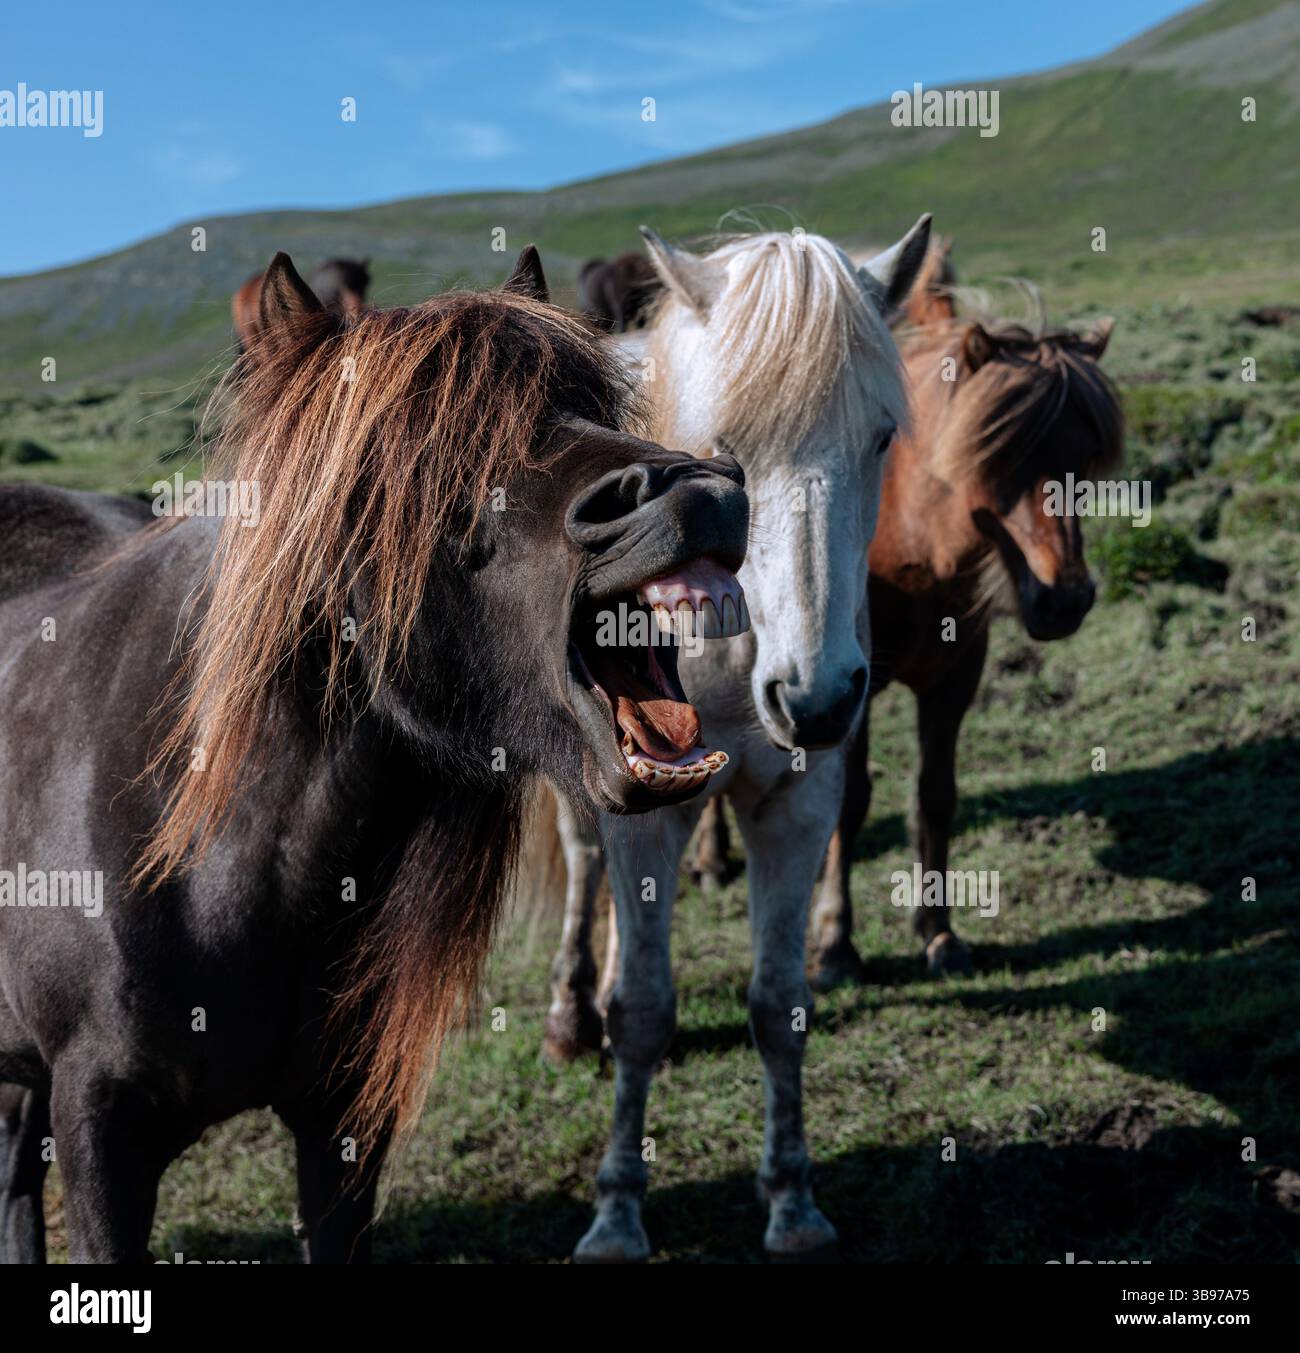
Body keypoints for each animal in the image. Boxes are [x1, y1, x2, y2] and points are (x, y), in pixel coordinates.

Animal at [526, 215, 933, 1261]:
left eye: (881, 437)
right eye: (726, 450)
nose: (818, 698)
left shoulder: (798, 802)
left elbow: (778, 1004)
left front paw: (791, 1198)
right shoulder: (640, 817)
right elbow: (641, 1008)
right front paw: (617, 1211)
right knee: (584, 870)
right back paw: (568, 1015)